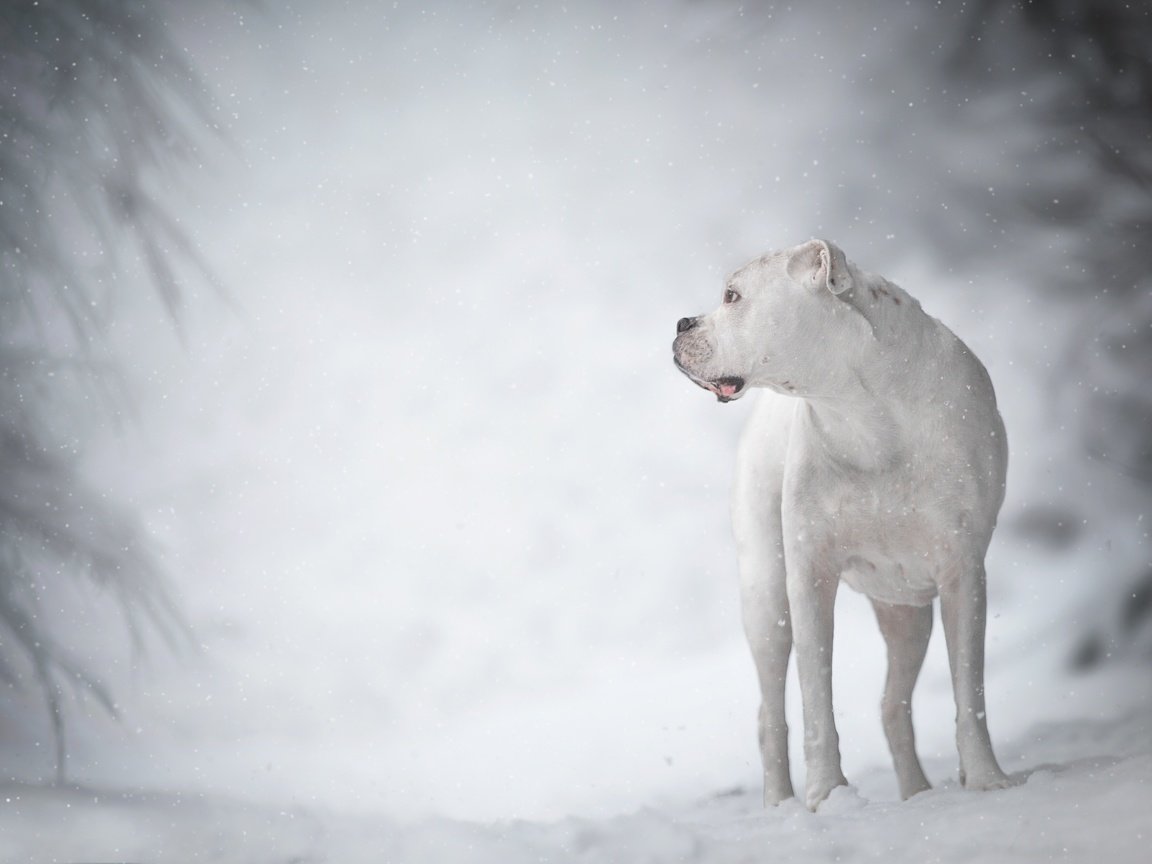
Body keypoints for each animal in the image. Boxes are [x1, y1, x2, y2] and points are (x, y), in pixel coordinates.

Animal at [672, 238, 1013, 811]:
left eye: (732, 296)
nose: (681, 323)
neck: (864, 413)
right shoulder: (809, 579)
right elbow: (816, 700)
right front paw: (826, 794)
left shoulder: (963, 573)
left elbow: (971, 690)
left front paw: (987, 779)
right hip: (766, 599)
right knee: (771, 713)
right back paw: (780, 802)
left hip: (908, 614)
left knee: (893, 704)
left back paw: (917, 793)